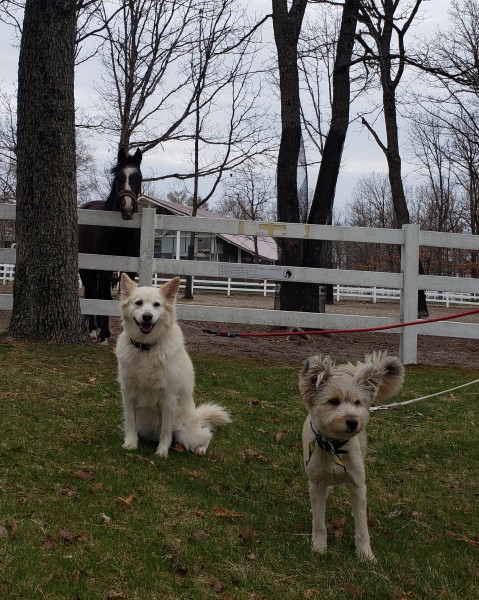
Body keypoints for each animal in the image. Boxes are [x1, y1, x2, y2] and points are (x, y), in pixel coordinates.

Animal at [78, 147, 142, 344]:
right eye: (119, 177)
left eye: (138, 177)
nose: (127, 208)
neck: (121, 231)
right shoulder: (106, 268)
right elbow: (104, 295)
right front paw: (105, 335)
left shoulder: (130, 269)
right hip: (86, 268)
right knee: (92, 292)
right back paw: (93, 329)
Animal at [114, 274, 231, 458]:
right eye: (138, 303)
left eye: (157, 304)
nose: (147, 316)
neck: (146, 348)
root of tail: (196, 416)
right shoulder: (128, 394)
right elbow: (130, 422)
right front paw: (131, 442)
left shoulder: (168, 398)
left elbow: (165, 431)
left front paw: (162, 451)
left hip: (187, 435)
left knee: (207, 435)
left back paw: (200, 449)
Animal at [300, 350, 404, 560]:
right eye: (333, 401)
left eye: (357, 403)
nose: (353, 421)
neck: (334, 446)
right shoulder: (316, 481)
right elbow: (319, 521)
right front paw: (319, 546)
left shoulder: (357, 483)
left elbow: (362, 526)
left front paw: (365, 553)